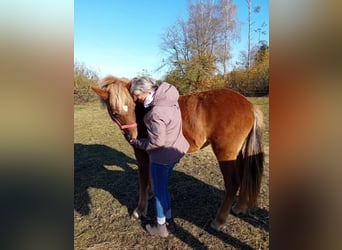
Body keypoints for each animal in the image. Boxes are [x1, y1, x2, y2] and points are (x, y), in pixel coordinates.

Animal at [91, 74, 264, 230]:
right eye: (115, 113)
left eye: (134, 107)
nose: (134, 137)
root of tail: (249, 105)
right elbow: (152, 176)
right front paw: (151, 193)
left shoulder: (141, 153)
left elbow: (143, 179)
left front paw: (139, 210)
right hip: (238, 153)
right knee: (244, 175)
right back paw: (239, 207)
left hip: (225, 153)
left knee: (233, 183)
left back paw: (219, 220)